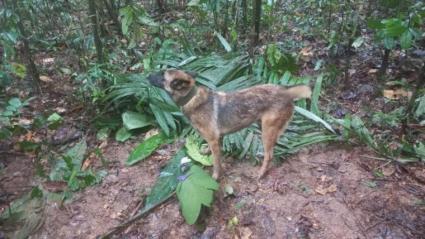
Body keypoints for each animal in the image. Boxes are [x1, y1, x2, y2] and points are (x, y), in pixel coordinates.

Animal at [147, 69, 310, 179]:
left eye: (162, 75)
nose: (147, 75)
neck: (191, 98)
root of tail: (286, 92)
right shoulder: (216, 138)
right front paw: (205, 151)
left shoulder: (213, 139)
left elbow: (216, 162)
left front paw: (215, 177)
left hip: (267, 132)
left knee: (269, 155)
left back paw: (261, 173)